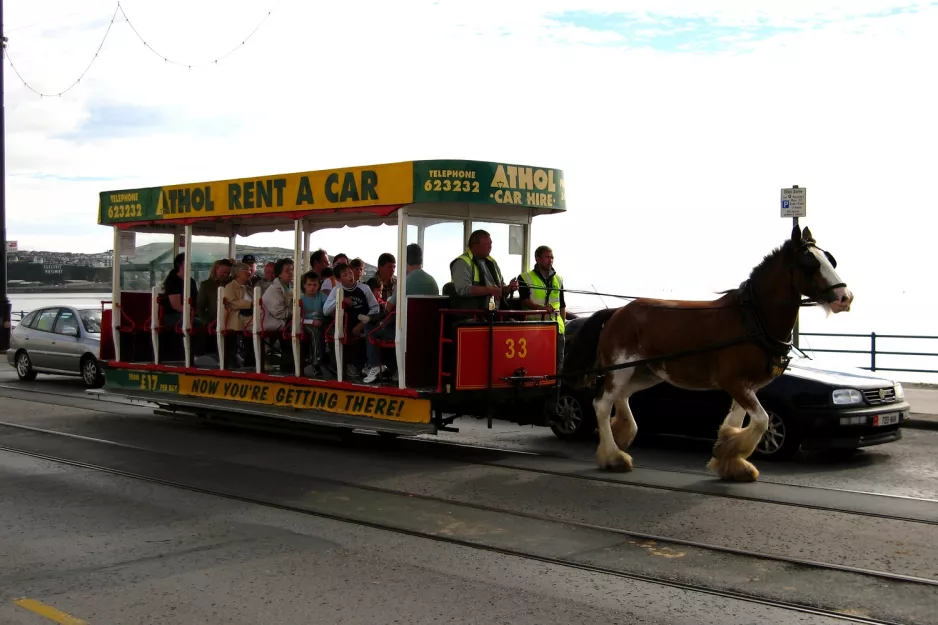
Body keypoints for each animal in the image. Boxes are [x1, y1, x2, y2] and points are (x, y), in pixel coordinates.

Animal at [560, 225, 852, 482]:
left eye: (830, 260)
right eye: (809, 264)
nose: (845, 298)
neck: (752, 319)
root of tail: (617, 312)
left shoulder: (745, 387)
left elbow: (738, 420)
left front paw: (730, 460)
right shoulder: (734, 383)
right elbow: (762, 420)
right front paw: (729, 454)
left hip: (646, 373)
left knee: (620, 398)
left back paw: (622, 435)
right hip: (621, 369)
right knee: (602, 403)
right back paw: (613, 456)